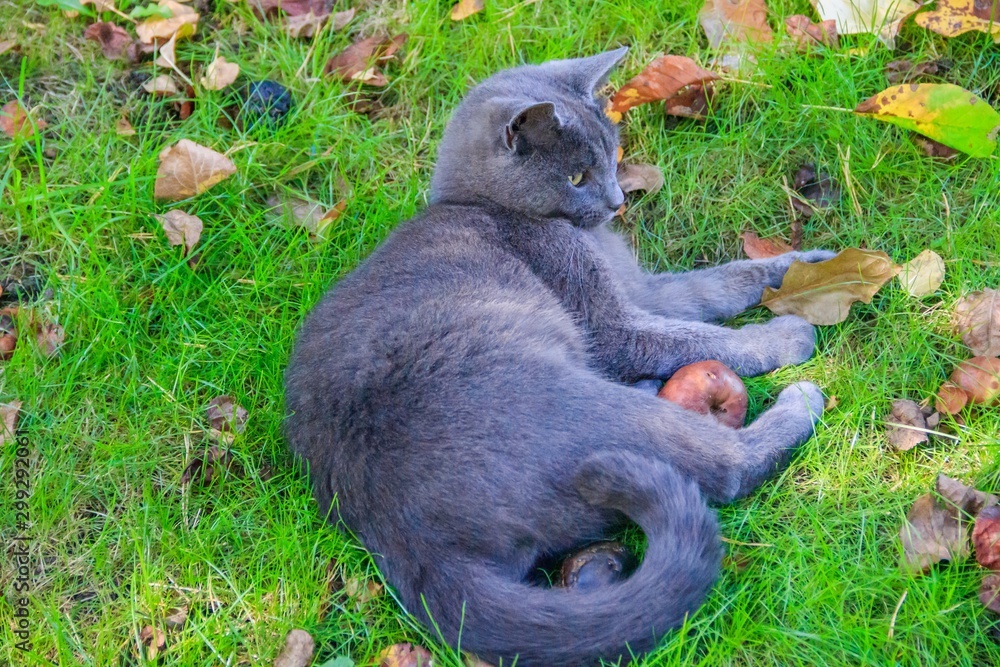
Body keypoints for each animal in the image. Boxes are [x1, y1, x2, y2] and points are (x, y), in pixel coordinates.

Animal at [286, 48, 832, 667]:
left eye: (615, 156)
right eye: (576, 177)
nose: (618, 202)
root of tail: (407, 544)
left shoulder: (643, 290)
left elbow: (718, 284)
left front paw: (807, 265)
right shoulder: (608, 323)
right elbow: (696, 336)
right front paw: (787, 332)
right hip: (582, 411)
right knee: (726, 467)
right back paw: (799, 399)